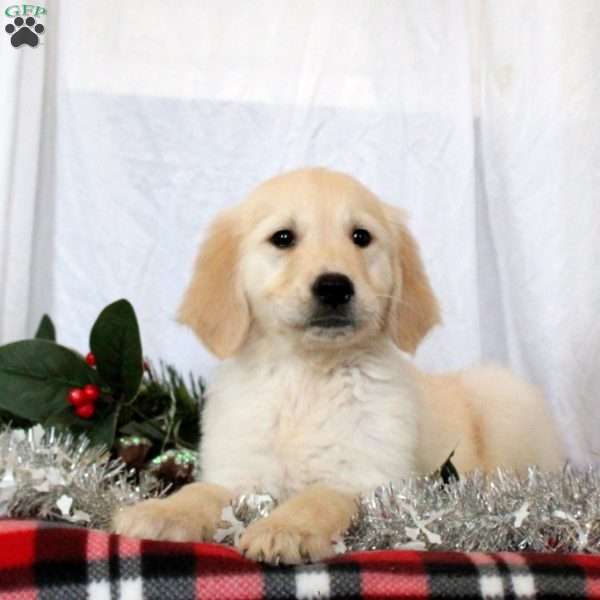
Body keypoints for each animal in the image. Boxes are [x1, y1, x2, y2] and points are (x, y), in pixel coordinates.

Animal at [112, 168, 564, 564]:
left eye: (361, 237)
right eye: (283, 238)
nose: (334, 286)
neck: (307, 375)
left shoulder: (371, 479)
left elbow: (321, 497)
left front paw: (284, 529)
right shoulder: (239, 471)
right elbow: (202, 491)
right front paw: (160, 513)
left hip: (504, 396)